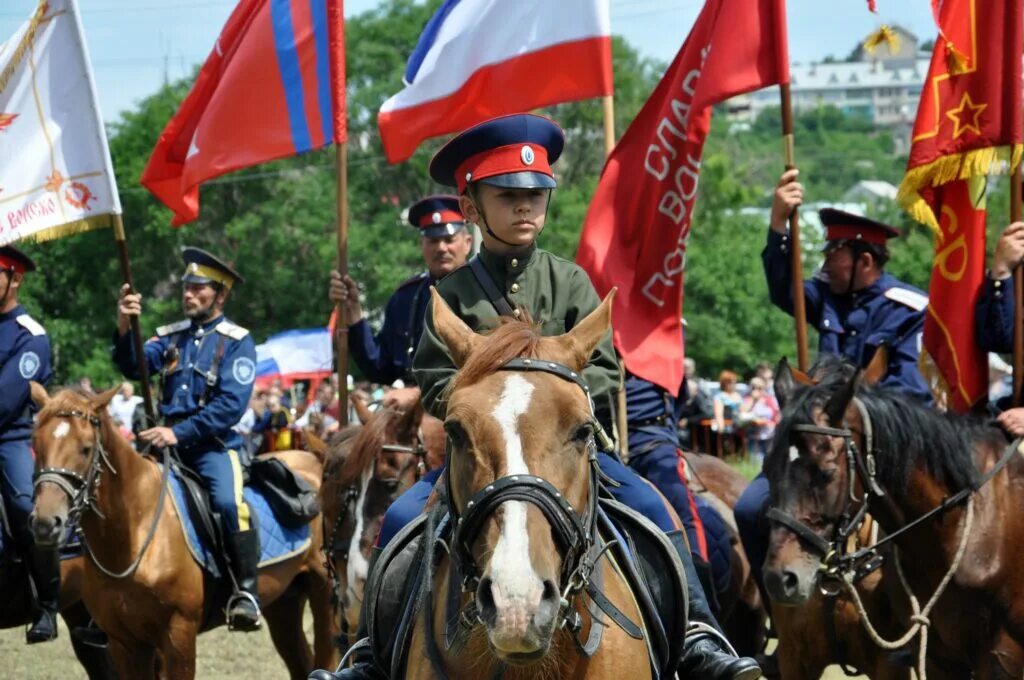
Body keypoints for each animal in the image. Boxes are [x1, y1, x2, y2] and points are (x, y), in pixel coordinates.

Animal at [28, 385, 337, 675]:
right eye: (36, 444)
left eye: (85, 448)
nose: (45, 523)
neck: (132, 535)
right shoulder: (124, 644)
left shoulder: (177, 636)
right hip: (284, 603)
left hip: (324, 596)